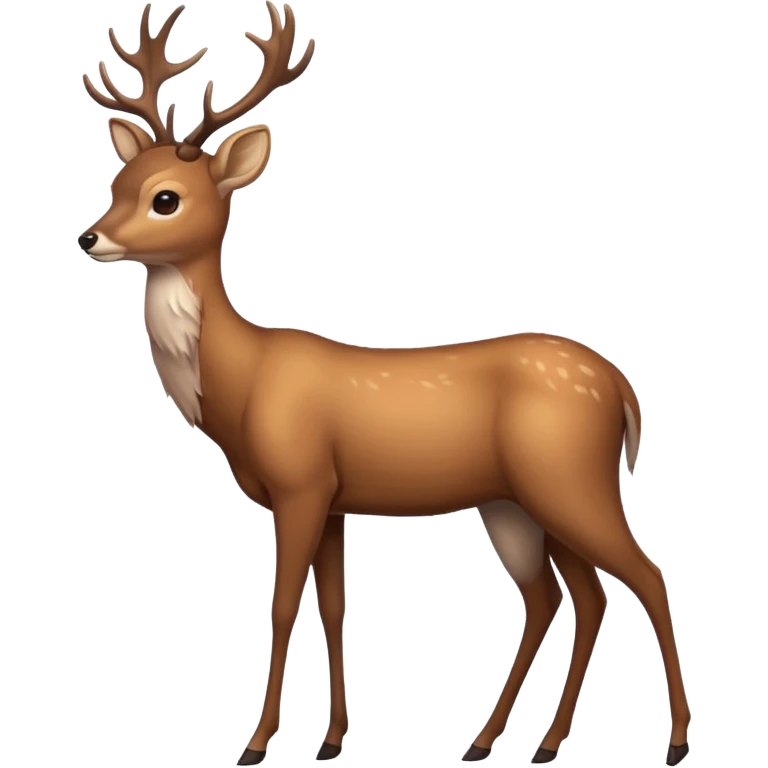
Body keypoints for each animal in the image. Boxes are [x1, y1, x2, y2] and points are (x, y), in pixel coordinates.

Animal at [78, 2, 692, 765]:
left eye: (165, 199)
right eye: (116, 186)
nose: (89, 237)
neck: (241, 386)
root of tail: (623, 388)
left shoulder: (301, 482)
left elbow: (282, 603)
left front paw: (257, 742)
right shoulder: (334, 499)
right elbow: (335, 606)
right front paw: (331, 739)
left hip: (569, 478)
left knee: (645, 576)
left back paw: (671, 741)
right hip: (517, 501)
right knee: (569, 595)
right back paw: (511, 742)